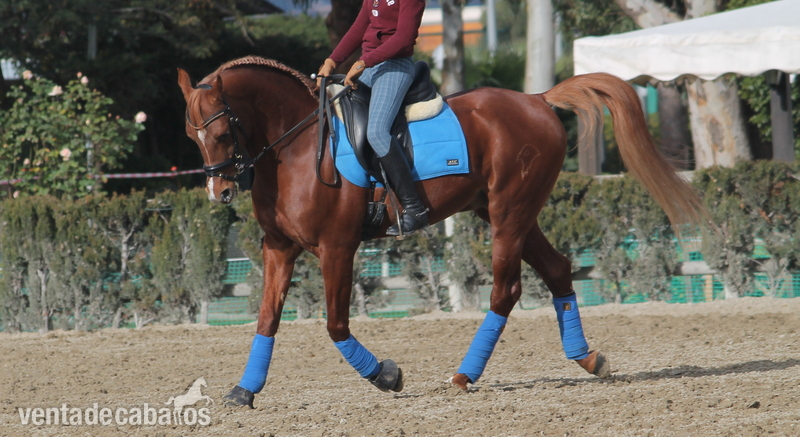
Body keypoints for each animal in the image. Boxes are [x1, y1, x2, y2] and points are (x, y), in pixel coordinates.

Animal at [177, 56, 704, 408]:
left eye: (221, 131)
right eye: (191, 135)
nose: (220, 192)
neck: (297, 147)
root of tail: (536, 101)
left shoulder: (337, 248)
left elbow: (335, 325)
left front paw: (387, 376)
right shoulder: (280, 248)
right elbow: (266, 319)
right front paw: (244, 391)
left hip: (509, 212)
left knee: (505, 290)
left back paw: (464, 375)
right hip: (505, 213)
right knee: (556, 270)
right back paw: (588, 359)